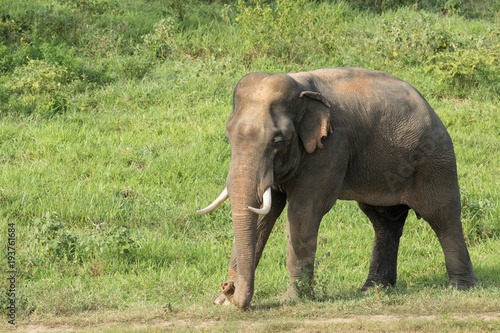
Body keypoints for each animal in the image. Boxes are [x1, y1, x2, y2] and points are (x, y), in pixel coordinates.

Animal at [195, 67, 476, 308]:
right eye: (228, 136)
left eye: (277, 141)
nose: (227, 287)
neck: (300, 89)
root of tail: (430, 106)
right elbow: (265, 213)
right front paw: (221, 303)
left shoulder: (330, 146)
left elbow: (303, 211)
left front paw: (293, 299)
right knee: (384, 220)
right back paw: (373, 289)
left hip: (435, 161)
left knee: (442, 216)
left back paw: (459, 288)